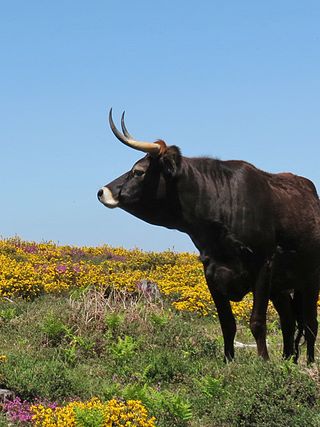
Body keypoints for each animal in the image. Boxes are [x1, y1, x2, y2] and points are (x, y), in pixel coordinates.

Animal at [98, 108, 320, 362]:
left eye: (138, 171)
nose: (102, 191)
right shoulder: (212, 272)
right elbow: (227, 324)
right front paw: (229, 361)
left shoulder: (263, 265)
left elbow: (257, 322)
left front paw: (263, 362)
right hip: (281, 288)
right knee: (289, 320)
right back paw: (287, 359)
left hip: (310, 279)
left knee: (310, 324)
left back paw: (307, 362)